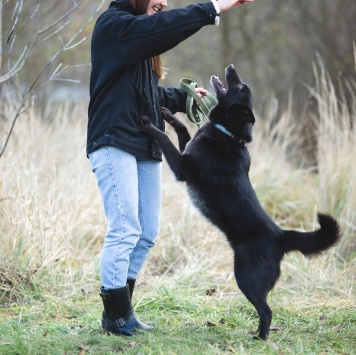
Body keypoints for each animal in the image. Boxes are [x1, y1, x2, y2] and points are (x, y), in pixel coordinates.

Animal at [140, 64, 342, 342]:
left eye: (240, 85)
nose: (231, 67)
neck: (229, 133)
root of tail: (280, 236)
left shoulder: (182, 167)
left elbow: (165, 139)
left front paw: (149, 124)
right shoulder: (186, 150)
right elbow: (182, 131)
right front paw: (169, 115)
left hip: (245, 278)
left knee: (266, 310)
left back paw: (260, 337)